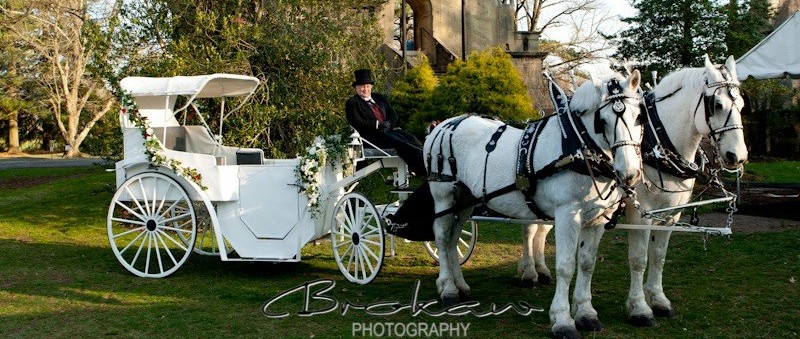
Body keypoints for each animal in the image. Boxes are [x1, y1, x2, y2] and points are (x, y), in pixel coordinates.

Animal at [424, 70, 644, 338]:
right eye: (601, 120)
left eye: (638, 116)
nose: (629, 173)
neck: (577, 147)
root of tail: (443, 125)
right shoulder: (567, 214)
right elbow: (566, 265)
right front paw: (562, 320)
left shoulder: (598, 218)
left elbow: (587, 263)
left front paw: (586, 313)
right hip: (444, 195)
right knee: (442, 236)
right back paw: (447, 288)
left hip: (465, 200)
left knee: (454, 239)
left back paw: (460, 285)